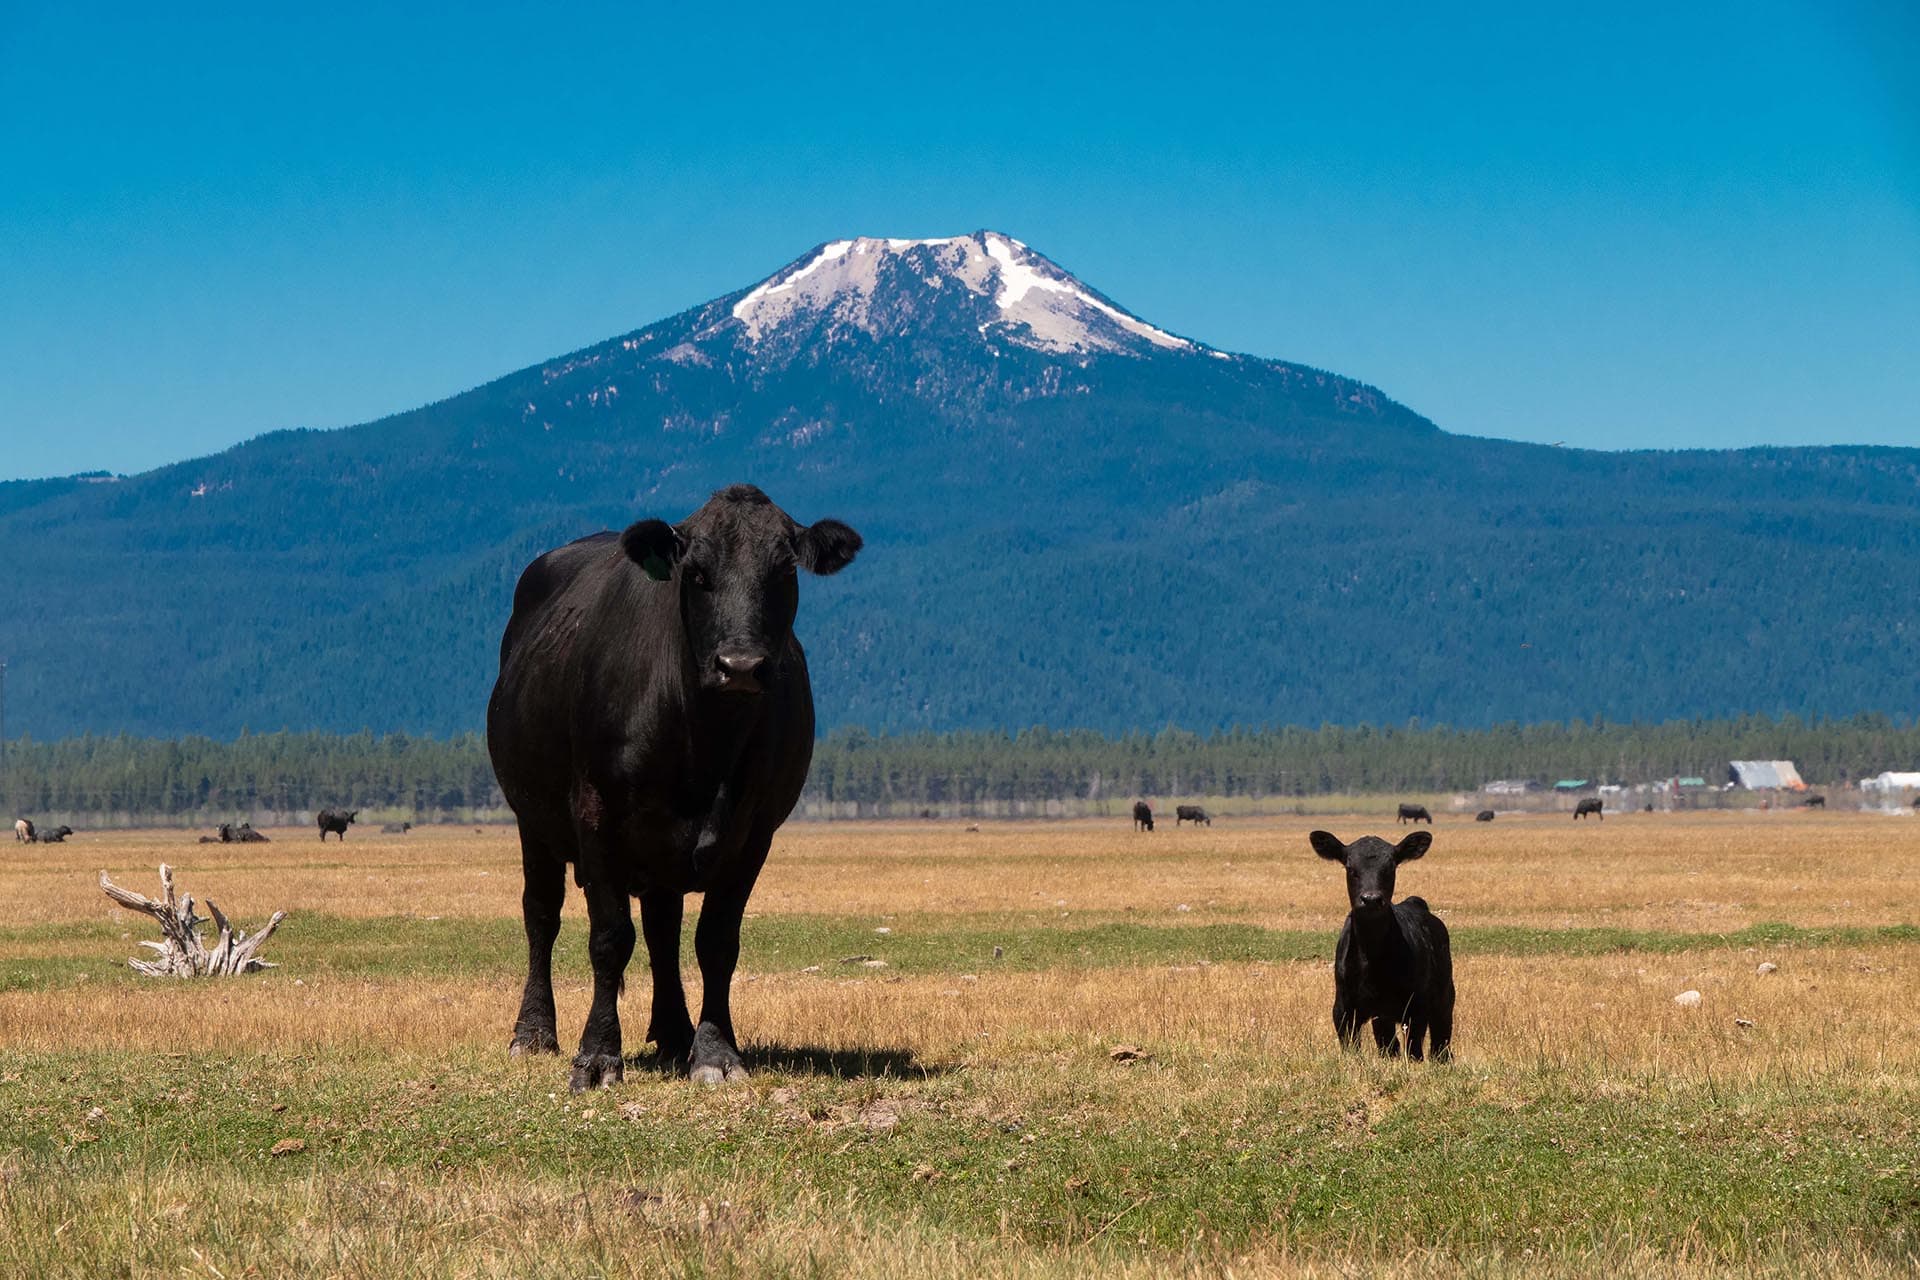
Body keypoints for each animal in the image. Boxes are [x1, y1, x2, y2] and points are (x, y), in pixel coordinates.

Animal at [487, 483, 861, 1090]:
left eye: (784, 570)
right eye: (697, 573)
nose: (740, 665)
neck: (705, 746)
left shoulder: (755, 833)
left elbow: (716, 942)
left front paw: (714, 1051)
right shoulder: (595, 813)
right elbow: (610, 938)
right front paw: (597, 1056)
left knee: (663, 929)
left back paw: (673, 1033)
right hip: (532, 822)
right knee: (541, 914)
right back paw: (534, 1032)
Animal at [1310, 828, 1454, 1062]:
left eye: (1390, 867)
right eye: (1351, 868)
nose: (1371, 899)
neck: (1372, 956)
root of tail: (1415, 902)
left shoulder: (1416, 1007)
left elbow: (1414, 1051)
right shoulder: (1343, 1008)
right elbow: (1352, 1047)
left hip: (1444, 998)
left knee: (1440, 1043)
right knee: (1389, 1043)